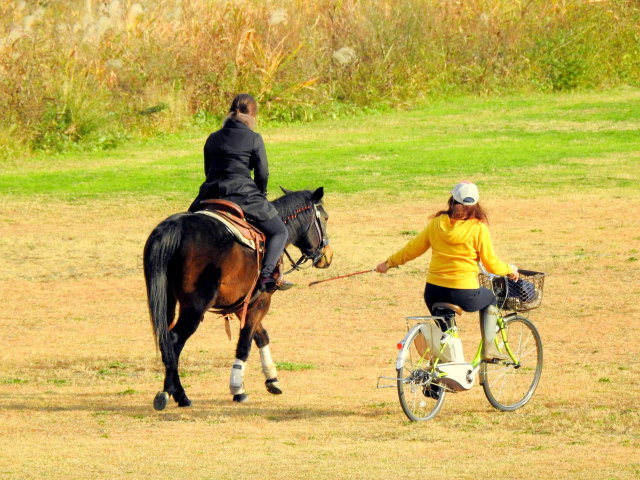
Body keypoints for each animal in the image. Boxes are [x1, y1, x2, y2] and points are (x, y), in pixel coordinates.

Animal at [143, 187, 332, 408]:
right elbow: (245, 343)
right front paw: (238, 388)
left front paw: (272, 378)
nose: (327, 256)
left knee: (165, 338)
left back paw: (170, 391)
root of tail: (174, 227)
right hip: (194, 308)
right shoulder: (260, 302)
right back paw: (178, 394)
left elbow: (261, 336)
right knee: (174, 341)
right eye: (325, 218)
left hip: (168, 301)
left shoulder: (244, 304)